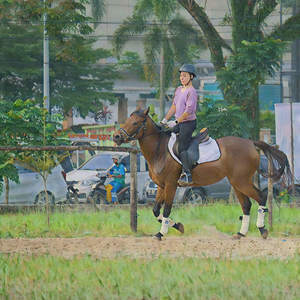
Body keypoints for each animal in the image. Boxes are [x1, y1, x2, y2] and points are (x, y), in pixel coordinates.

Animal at [113, 108, 292, 241]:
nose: (116, 136)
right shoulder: (161, 186)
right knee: (246, 205)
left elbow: (167, 209)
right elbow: (156, 211)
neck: (159, 151)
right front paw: (177, 226)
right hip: (236, 182)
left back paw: (262, 229)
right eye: (127, 120)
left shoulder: (171, 185)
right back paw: (241, 233)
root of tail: (251, 143)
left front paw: (160, 233)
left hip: (242, 181)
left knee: (261, 197)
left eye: (135, 122)